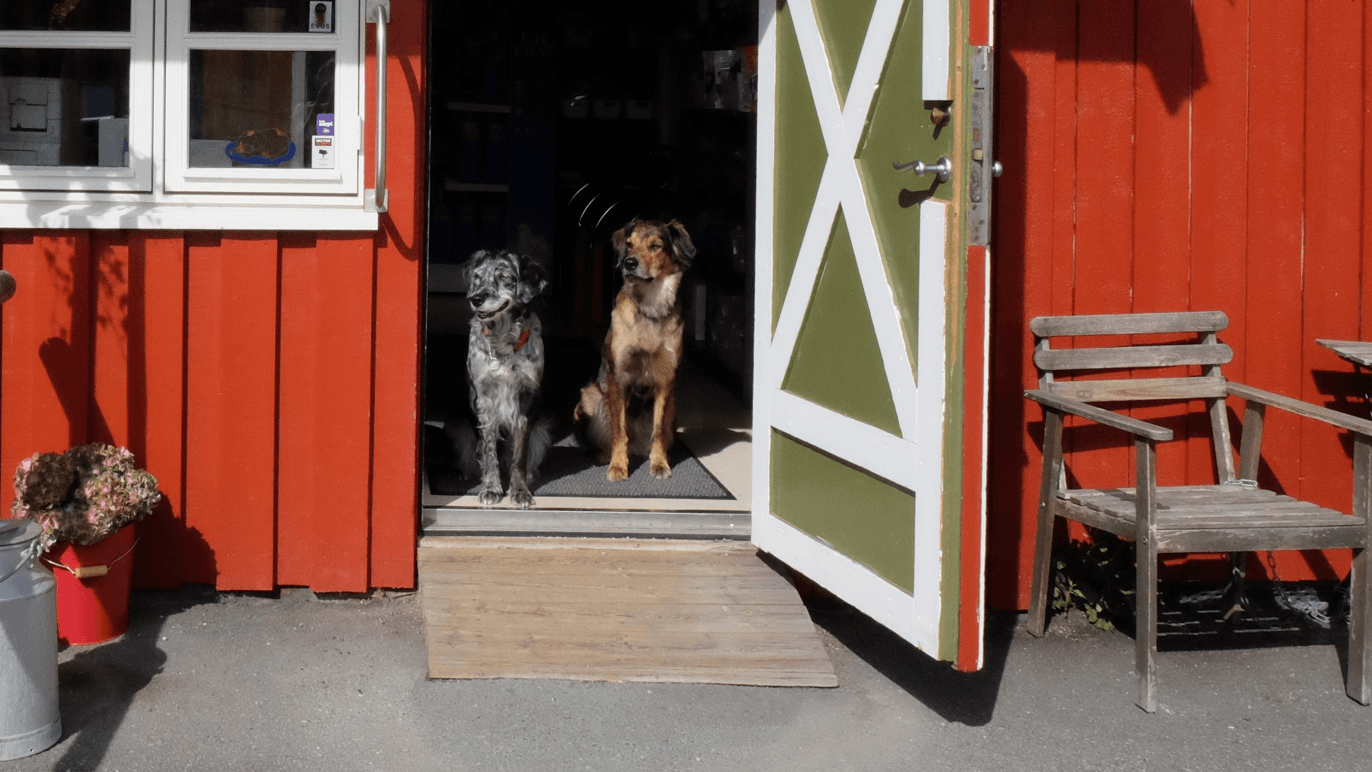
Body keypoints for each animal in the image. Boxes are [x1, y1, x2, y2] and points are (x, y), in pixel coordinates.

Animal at [458, 250, 548, 510]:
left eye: (504, 277)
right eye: (477, 277)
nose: (476, 298)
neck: (502, 340)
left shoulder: (525, 398)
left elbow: (519, 456)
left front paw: (519, 491)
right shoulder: (485, 399)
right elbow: (489, 452)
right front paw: (491, 489)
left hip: (541, 429)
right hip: (460, 427)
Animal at [573, 219, 696, 477]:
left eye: (656, 246)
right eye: (629, 245)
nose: (629, 263)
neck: (650, 305)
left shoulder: (665, 378)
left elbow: (658, 431)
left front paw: (659, 463)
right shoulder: (618, 376)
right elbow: (619, 431)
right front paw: (618, 466)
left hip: (673, 407)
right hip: (590, 396)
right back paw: (604, 455)